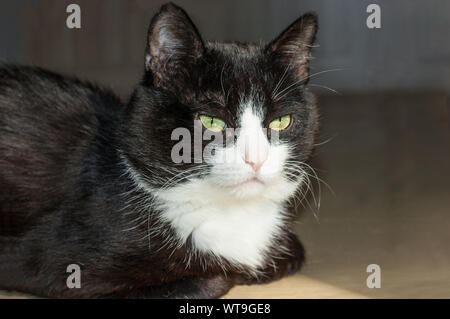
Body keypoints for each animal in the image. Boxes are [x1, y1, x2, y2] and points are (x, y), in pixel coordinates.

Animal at [0, 2, 318, 298]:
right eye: (211, 121)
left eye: (281, 121)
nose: (256, 159)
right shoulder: (61, 269)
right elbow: (212, 279)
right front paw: (233, 272)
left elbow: (294, 250)